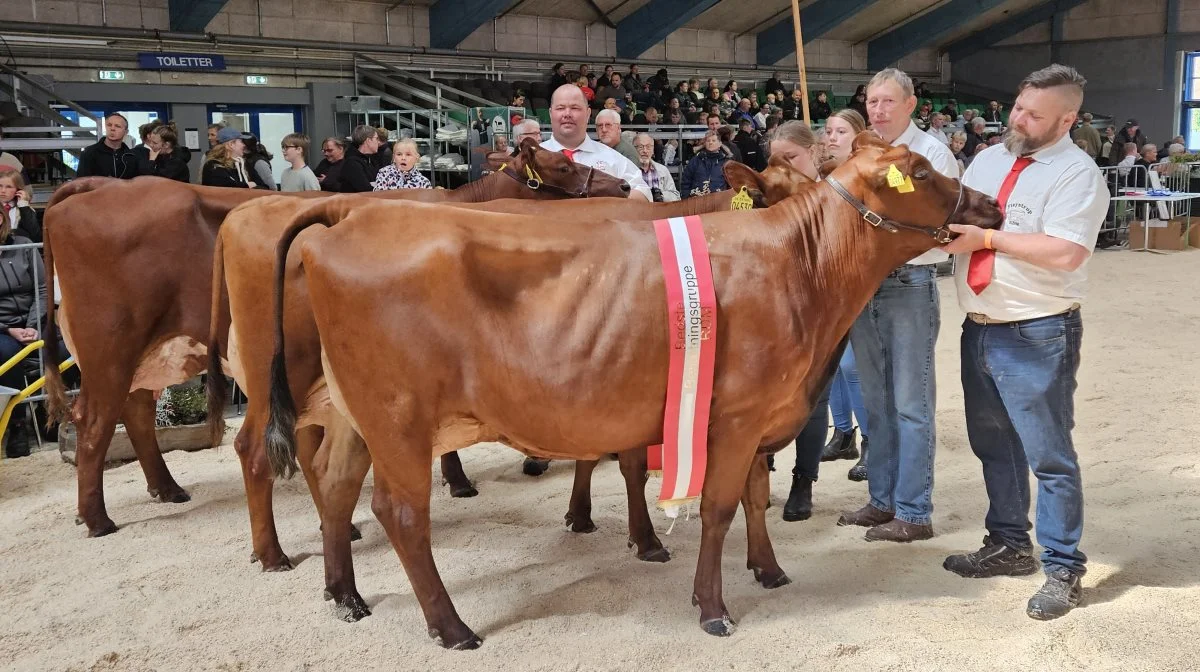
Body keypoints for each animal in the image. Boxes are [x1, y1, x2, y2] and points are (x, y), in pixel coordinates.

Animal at [41, 142, 624, 540]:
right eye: (562, 166)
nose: (622, 187)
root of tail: (99, 186)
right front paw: (457, 480)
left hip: (147, 354)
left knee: (135, 414)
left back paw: (167, 490)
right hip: (114, 346)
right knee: (97, 423)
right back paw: (99, 519)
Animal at [206, 157, 811, 619]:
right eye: (560, 164)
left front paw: (583, 515)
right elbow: (633, 466)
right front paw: (644, 539)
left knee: (322, 465)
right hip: (284, 377)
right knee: (257, 450)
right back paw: (274, 554)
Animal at [267, 133, 1008, 648]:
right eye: (920, 174)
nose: (989, 204)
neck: (801, 267)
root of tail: (347, 219)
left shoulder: (760, 414)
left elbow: (755, 499)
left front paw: (766, 569)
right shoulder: (736, 415)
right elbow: (717, 507)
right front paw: (711, 607)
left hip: (357, 414)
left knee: (335, 482)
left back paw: (344, 594)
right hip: (398, 417)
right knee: (400, 513)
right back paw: (451, 627)